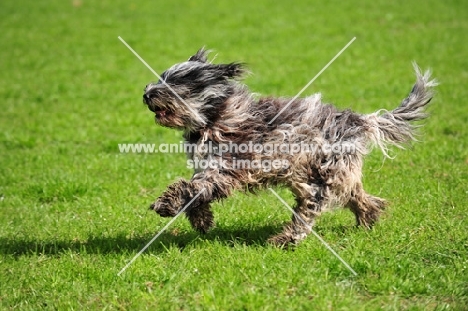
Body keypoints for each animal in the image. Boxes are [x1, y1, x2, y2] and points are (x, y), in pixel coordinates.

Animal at [141, 48, 436, 247]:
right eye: (161, 78)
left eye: (174, 83)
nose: (146, 94)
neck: (217, 116)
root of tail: (360, 120)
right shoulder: (209, 167)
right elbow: (196, 189)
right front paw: (202, 220)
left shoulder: (226, 167)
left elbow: (191, 187)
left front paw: (167, 204)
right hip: (327, 175)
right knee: (359, 197)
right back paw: (368, 219)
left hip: (320, 178)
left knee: (310, 210)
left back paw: (286, 239)